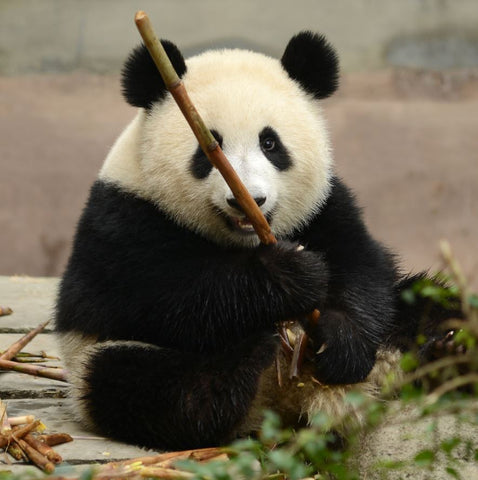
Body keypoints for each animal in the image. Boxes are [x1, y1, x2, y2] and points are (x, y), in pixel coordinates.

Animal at [54, 32, 458, 450]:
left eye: (270, 143)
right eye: (210, 145)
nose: (248, 199)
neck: (243, 242)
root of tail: (288, 398)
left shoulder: (325, 206)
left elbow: (362, 269)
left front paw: (342, 341)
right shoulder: (123, 217)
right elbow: (160, 293)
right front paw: (289, 275)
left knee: (424, 302)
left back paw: (447, 350)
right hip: (99, 362)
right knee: (145, 384)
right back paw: (250, 356)